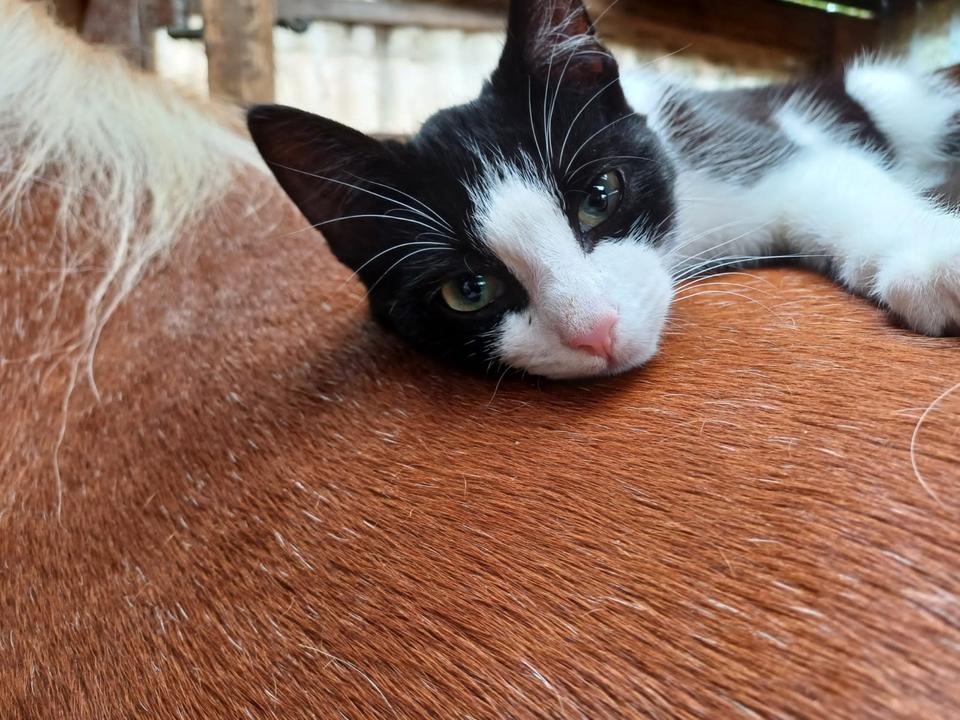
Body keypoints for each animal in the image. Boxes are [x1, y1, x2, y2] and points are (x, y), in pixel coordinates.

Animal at [247, 0, 960, 380]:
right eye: (468, 290)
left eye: (599, 196)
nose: (597, 330)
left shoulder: (729, 142)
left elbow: (826, 176)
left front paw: (934, 259)